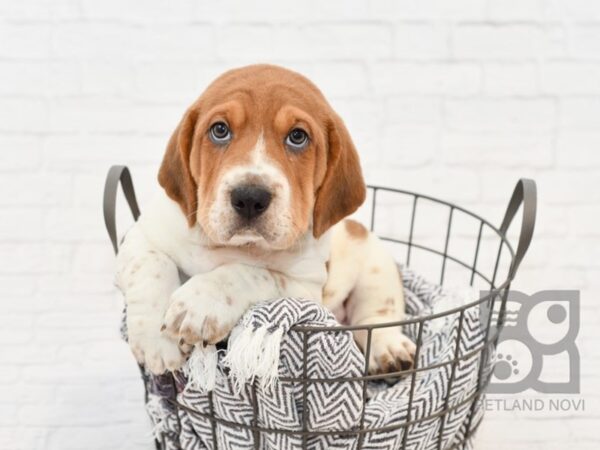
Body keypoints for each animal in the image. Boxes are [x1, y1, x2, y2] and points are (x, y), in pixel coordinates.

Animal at [117, 64, 418, 376]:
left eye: (297, 136)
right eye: (220, 130)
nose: (250, 197)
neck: (238, 245)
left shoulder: (305, 291)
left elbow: (250, 273)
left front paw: (200, 303)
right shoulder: (141, 235)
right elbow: (151, 265)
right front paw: (156, 341)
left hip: (376, 267)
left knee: (376, 316)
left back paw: (390, 350)